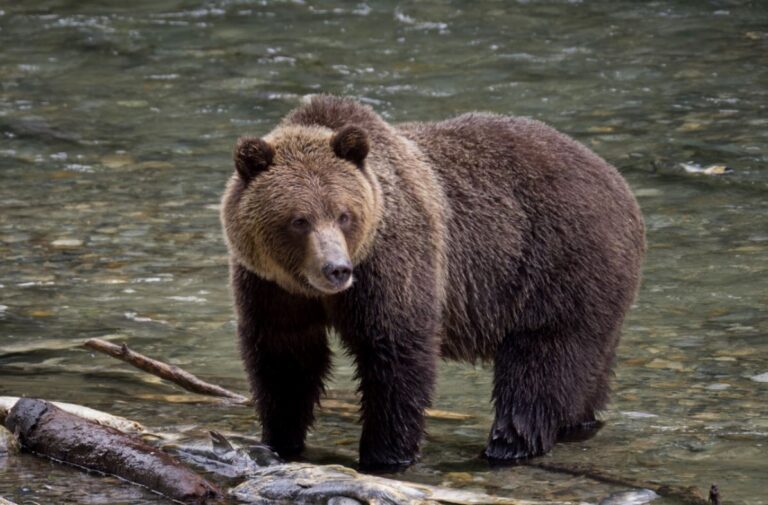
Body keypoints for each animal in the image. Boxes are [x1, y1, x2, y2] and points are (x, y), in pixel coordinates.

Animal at [220, 95, 645, 471]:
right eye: (299, 219)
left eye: (343, 215)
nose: (336, 269)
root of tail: (620, 185)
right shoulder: (271, 287)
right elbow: (285, 357)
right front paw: (280, 439)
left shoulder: (391, 262)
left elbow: (395, 353)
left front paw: (385, 454)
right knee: (587, 370)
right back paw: (576, 424)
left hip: (560, 265)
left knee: (541, 361)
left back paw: (508, 445)